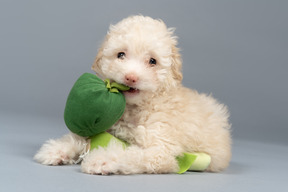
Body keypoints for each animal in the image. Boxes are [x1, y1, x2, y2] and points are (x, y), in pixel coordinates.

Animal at [34, 15, 232, 175]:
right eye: (121, 54)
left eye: (152, 61)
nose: (131, 77)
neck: (136, 108)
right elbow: (81, 138)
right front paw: (58, 149)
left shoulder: (160, 150)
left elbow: (129, 154)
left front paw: (102, 160)